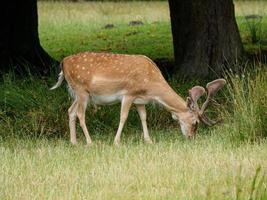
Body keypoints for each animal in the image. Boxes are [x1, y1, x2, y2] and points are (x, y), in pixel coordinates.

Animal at [50, 51, 226, 145]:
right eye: (195, 122)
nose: (191, 137)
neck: (151, 87)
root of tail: (63, 62)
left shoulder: (139, 100)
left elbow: (143, 116)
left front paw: (148, 140)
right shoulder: (128, 93)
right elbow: (123, 116)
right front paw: (116, 142)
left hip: (79, 93)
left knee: (70, 111)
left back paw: (74, 142)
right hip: (81, 90)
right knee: (80, 114)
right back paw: (90, 141)